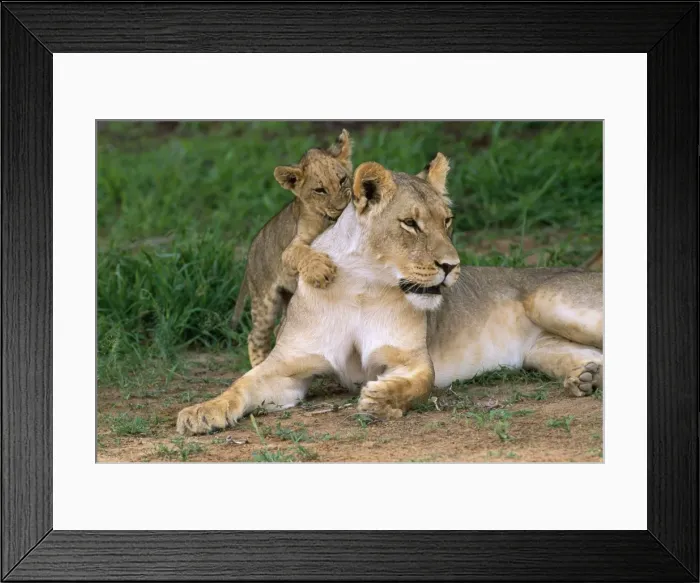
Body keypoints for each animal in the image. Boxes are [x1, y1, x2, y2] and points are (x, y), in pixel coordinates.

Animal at [178, 153, 602, 434]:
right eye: (410, 224)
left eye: (447, 220)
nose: (452, 266)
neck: (361, 287)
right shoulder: (286, 369)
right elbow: (240, 385)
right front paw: (200, 412)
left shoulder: (412, 359)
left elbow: (418, 384)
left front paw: (380, 400)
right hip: (542, 347)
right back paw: (586, 378)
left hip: (550, 302)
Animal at [231, 129, 353, 367]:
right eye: (320, 190)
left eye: (343, 180)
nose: (342, 208)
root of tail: (250, 251)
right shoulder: (290, 249)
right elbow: (301, 252)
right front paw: (320, 271)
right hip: (265, 302)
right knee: (255, 337)